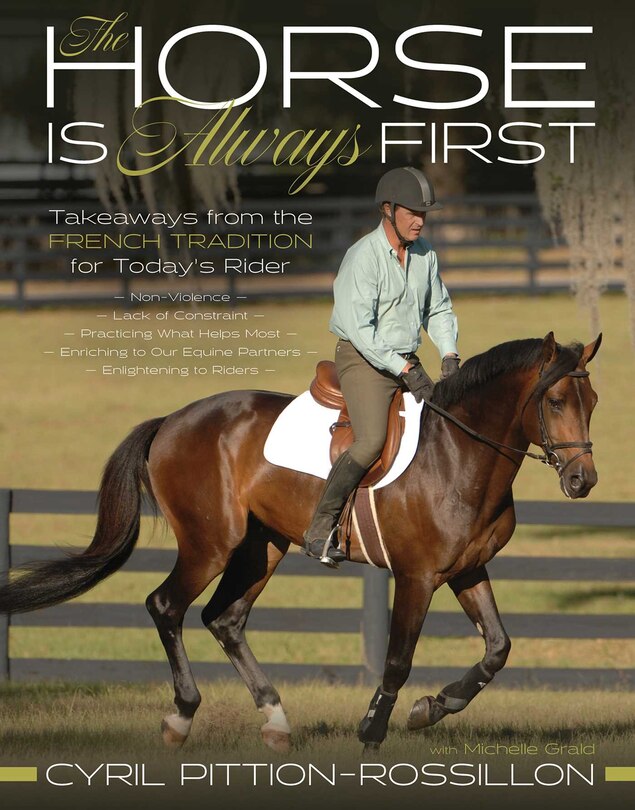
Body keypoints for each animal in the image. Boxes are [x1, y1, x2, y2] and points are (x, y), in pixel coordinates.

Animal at [0, 331, 600, 753]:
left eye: (591, 400)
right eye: (554, 401)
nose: (582, 481)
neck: (457, 453)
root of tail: (172, 420)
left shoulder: (466, 570)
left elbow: (498, 648)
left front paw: (433, 706)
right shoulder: (417, 576)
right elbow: (398, 660)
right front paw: (374, 729)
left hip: (261, 546)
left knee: (224, 618)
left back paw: (275, 721)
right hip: (211, 543)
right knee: (166, 605)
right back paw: (181, 716)